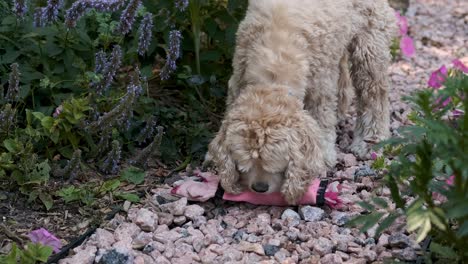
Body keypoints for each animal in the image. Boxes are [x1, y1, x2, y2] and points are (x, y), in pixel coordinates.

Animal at [204, 0, 394, 204]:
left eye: (276, 163)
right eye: (244, 163)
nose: (259, 188)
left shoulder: (320, 86)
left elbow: (321, 120)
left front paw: (323, 157)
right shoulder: (238, 78)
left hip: (370, 39)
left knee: (374, 91)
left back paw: (370, 139)